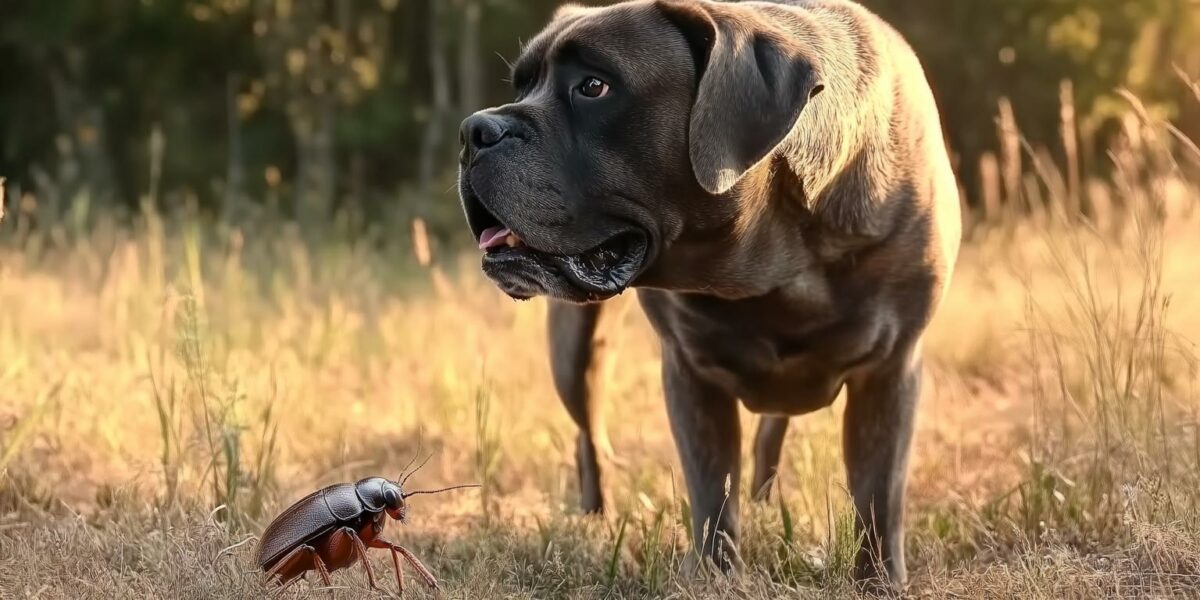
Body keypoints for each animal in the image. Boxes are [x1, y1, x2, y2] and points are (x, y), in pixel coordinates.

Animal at [453, 0, 960, 583]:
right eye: (522, 85)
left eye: (593, 87)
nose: (474, 131)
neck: (772, 253)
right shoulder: (692, 374)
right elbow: (713, 489)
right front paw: (714, 574)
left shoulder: (891, 369)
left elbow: (878, 491)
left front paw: (878, 579)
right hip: (575, 352)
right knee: (590, 433)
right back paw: (596, 511)